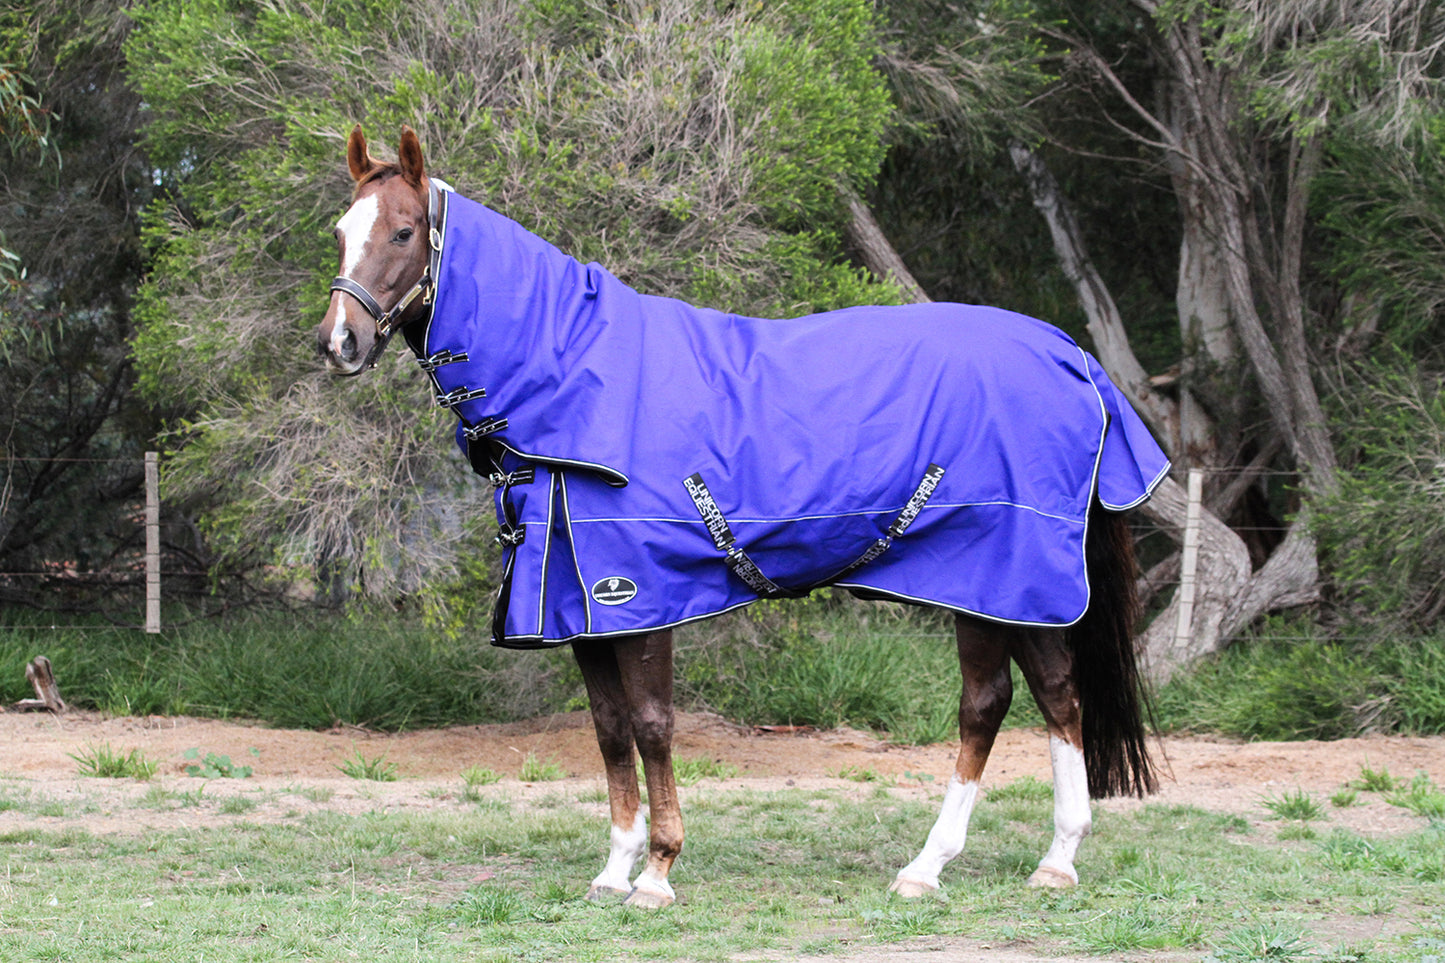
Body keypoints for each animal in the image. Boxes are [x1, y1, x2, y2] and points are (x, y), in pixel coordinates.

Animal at [315, 126, 1166, 909]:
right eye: (339, 230)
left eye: (402, 231)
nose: (338, 342)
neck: (572, 382)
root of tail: (1070, 357)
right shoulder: (578, 608)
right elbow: (609, 729)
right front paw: (612, 870)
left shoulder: (641, 598)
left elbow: (652, 723)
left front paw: (657, 873)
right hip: (1010, 589)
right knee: (1052, 696)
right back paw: (1036, 860)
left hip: (985, 577)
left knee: (992, 704)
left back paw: (949, 864)